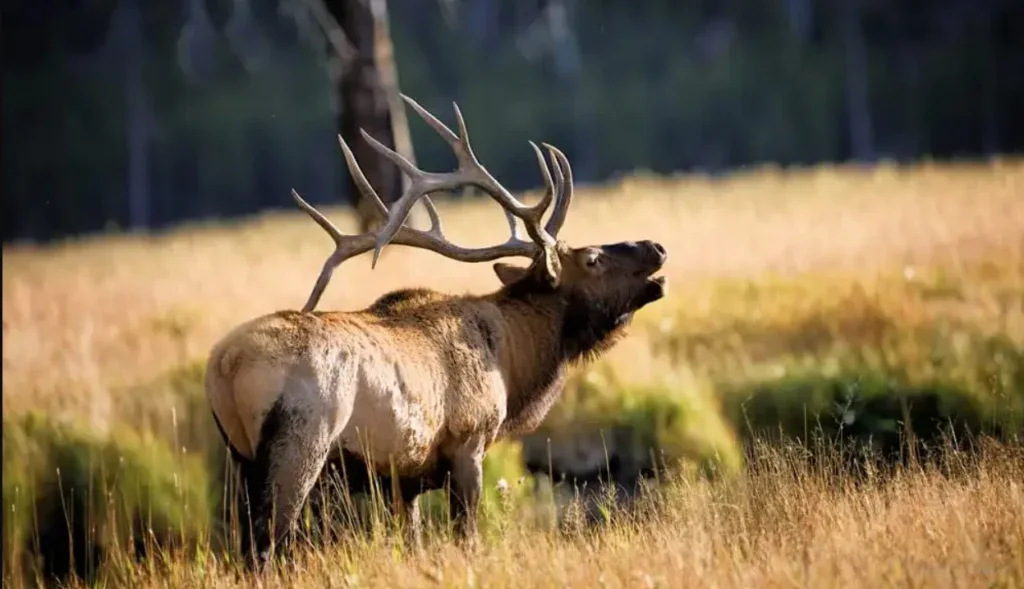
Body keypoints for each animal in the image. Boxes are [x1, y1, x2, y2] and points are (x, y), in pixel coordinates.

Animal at [204, 94, 668, 571]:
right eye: (593, 259)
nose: (656, 247)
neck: (514, 362)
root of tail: (224, 365)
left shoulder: (403, 478)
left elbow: (412, 540)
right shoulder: (468, 442)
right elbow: (468, 535)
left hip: (240, 457)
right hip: (298, 446)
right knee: (266, 547)